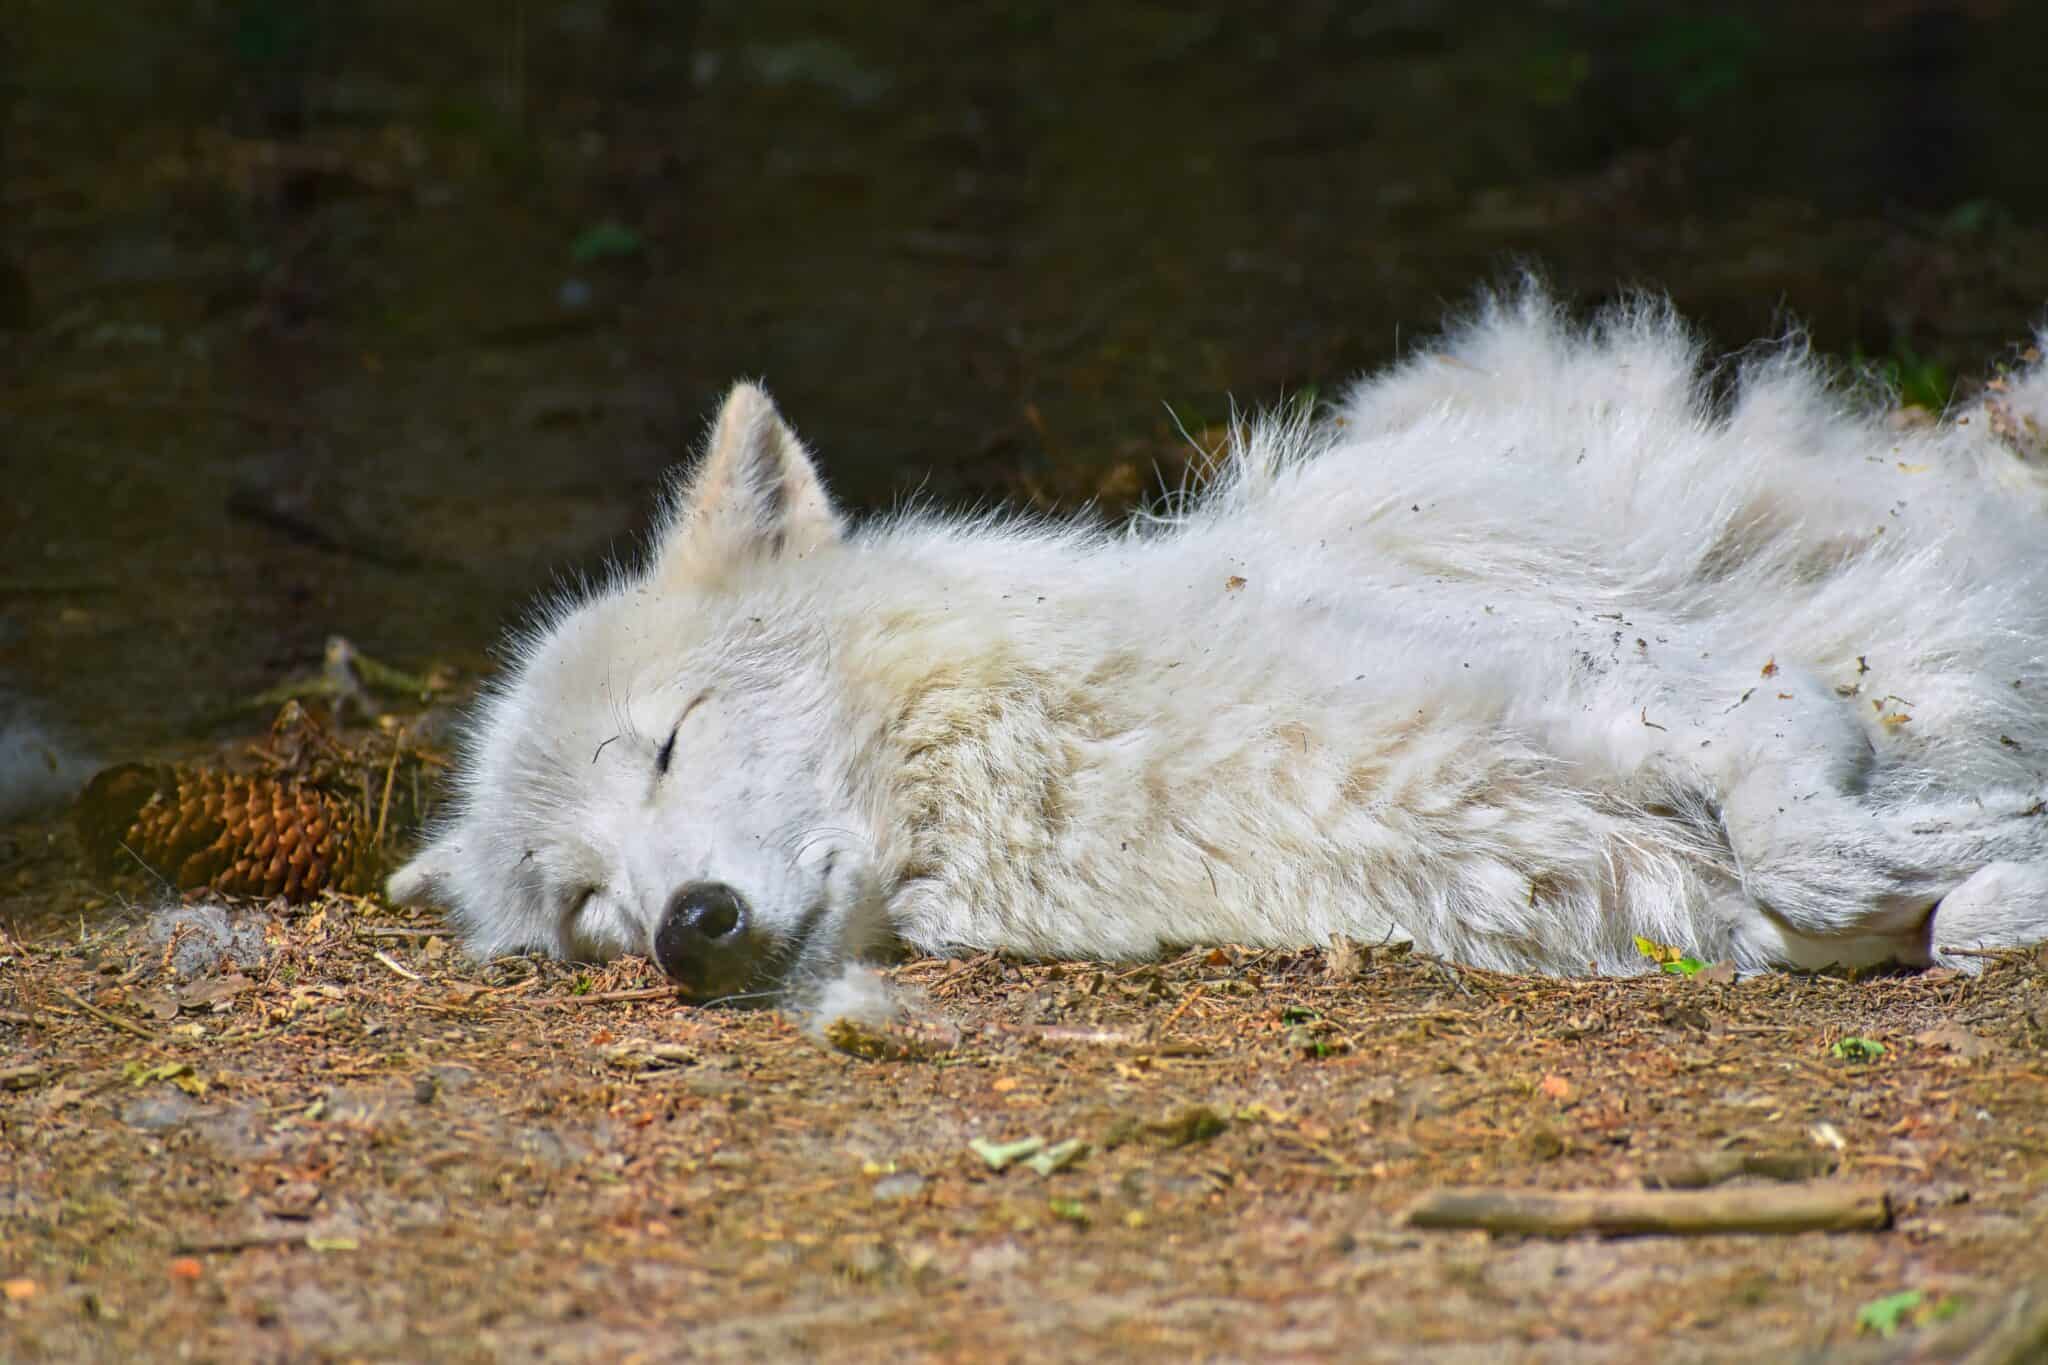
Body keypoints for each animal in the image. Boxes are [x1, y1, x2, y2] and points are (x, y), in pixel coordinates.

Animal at [389, 288, 2048, 1010]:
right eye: (585, 901)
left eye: (672, 740)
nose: (687, 928)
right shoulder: (1639, 898)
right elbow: (1841, 915)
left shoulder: (1678, 685)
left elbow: (1828, 844)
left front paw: (1971, 843)